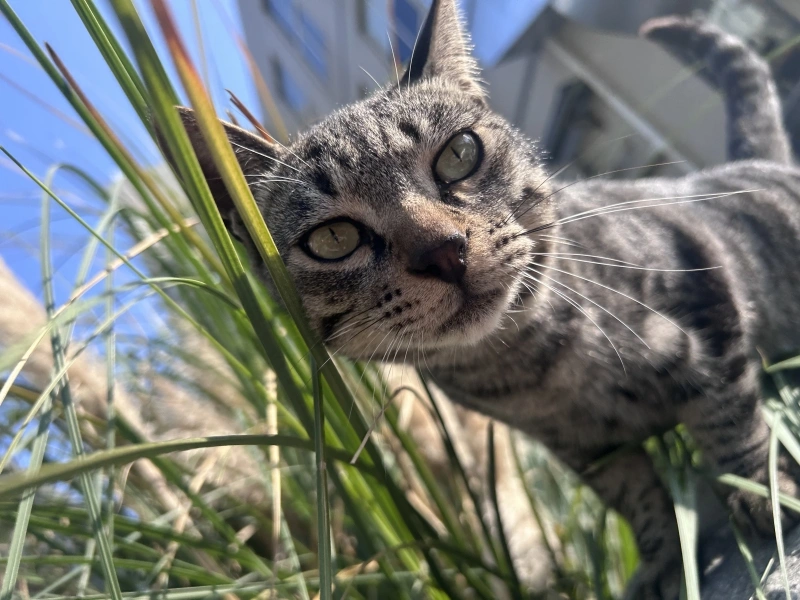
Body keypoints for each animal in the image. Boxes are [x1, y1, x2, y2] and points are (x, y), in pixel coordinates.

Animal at [161, 2, 800, 598]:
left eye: (459, 155)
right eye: (334, 238)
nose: (444, 250)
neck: (541, 366)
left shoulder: (704, 295)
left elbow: (728, 417)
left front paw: (763, 492)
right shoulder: (586, 448)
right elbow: (637, 499)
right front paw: (662, 560)